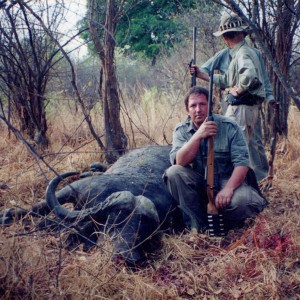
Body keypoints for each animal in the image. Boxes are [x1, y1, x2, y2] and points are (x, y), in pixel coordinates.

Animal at [0, 146, 184, 266]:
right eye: (113, 221)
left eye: (143, 229)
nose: (124, 256)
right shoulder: (73, 189)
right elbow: (39, 206)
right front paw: (7, 214)